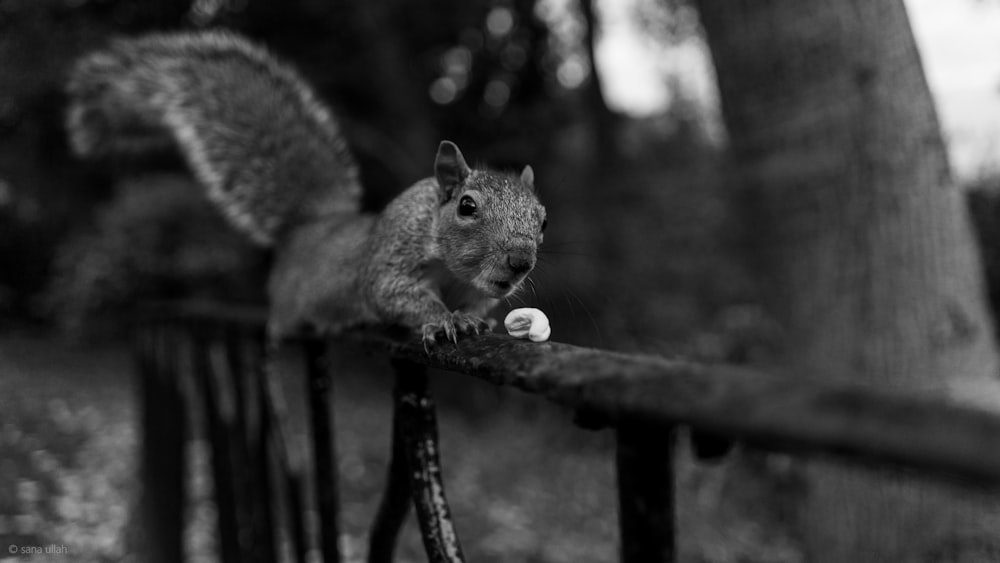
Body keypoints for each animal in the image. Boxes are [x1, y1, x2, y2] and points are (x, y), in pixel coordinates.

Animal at [64, 33, 548, 346]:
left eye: (542, 221)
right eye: (467, 206)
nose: (521, 261)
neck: (451, 273)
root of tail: (312, 225)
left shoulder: (476, 291)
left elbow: (476, 307)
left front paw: (471, 321)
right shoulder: (391, 256)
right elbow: (392, 293)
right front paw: (444, 321)